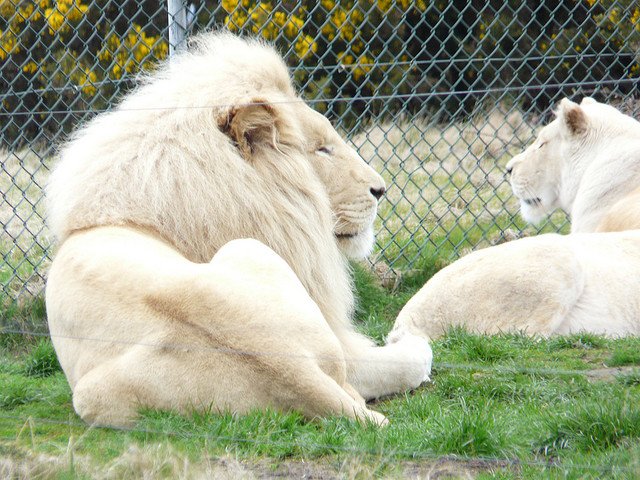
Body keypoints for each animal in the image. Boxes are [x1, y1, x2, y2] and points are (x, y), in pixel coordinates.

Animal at [47, 31, 432, 426]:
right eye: (322, 149)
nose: (381, 189)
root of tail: (287, 367)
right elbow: (395, 362)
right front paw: (410, 343)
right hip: (246, 251)